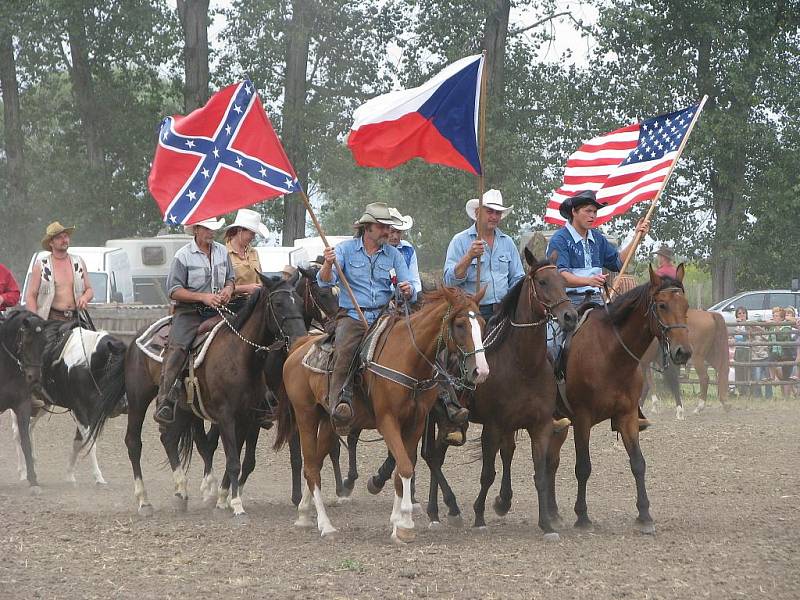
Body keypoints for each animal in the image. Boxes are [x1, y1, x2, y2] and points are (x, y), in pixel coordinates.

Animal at [9, 322, 126, 486]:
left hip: (43, 405)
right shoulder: (79, 409)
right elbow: (89, 442)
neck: (85, 364)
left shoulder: (90, 411)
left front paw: (70, 475)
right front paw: (99, 478)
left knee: (29, 427)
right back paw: (23, 471)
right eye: (114, 368)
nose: (122, 405)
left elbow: (78, 442)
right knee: (18, 432)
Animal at [90, 274, 306, 516]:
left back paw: (182, 491)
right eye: (278, 304)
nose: (300, 338)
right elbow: (233, 460)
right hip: (139, 397)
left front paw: (223, 498)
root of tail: (134, 342)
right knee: (134, 442)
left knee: (169, 438)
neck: (239, 354)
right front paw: (236, 505)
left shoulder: (246, 416)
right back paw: (144, 501)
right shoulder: (226, 415)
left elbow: (236, 459)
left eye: (299, 301)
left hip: (184, 408)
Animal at [276, 288, 490, 544]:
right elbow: (405, 467)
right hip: (306, 415)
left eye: (482, 323)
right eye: (459, 325)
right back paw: (326, 525)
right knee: (310, 468)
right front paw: (406, 524)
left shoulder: (416, 424)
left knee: (315, 463)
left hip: (330, 421)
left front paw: (397, 523)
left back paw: (304, 514)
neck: (408, 358)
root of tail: (298, 348)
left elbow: (403, 468)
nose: (481, 371)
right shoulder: (387, 421)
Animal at [548, 268, 692, 536]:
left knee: (550, 461)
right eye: (662, 305)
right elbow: (583, 467)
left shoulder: (627, 416)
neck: (610, 353)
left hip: (558, 424)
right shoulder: (582, 419)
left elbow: (638, 463)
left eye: (686, 305)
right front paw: (582, 516)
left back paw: (552, 513)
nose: (683, 352)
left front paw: (645, 516)